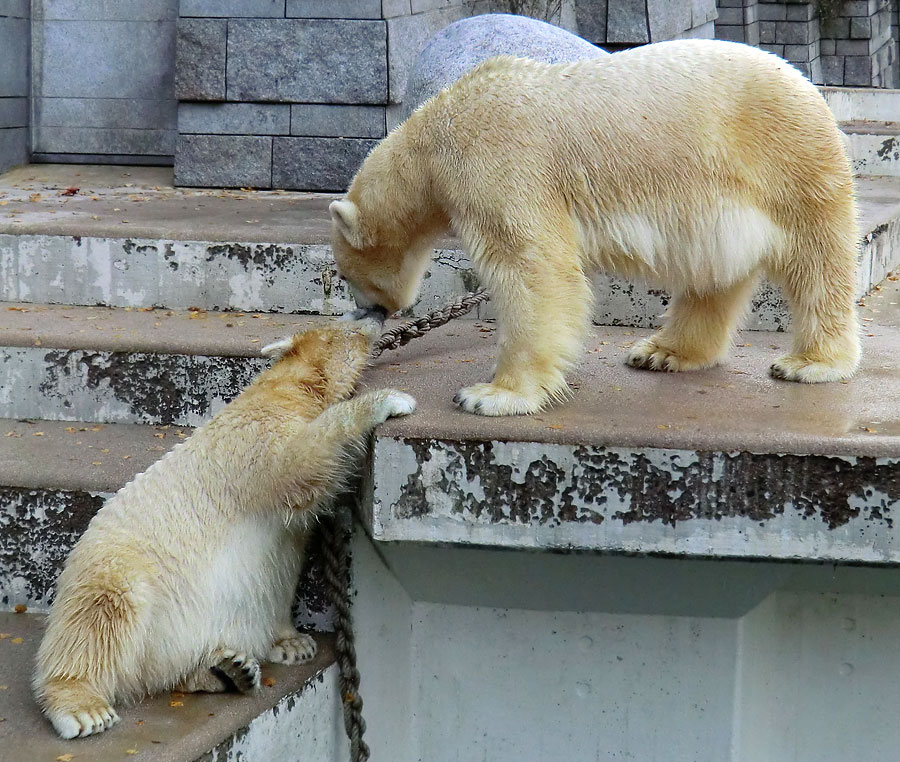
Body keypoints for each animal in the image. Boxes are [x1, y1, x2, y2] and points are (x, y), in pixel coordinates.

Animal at [330, 38, 856, 416]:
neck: (434, 137)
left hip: (788, 161)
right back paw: (663, 351)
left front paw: (490, 395)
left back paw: (811, 363)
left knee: (817, 262)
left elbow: (534, 269)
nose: (368, 313)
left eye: (346, 275)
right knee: (714, 273)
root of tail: (807, 84)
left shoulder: (496, 163)